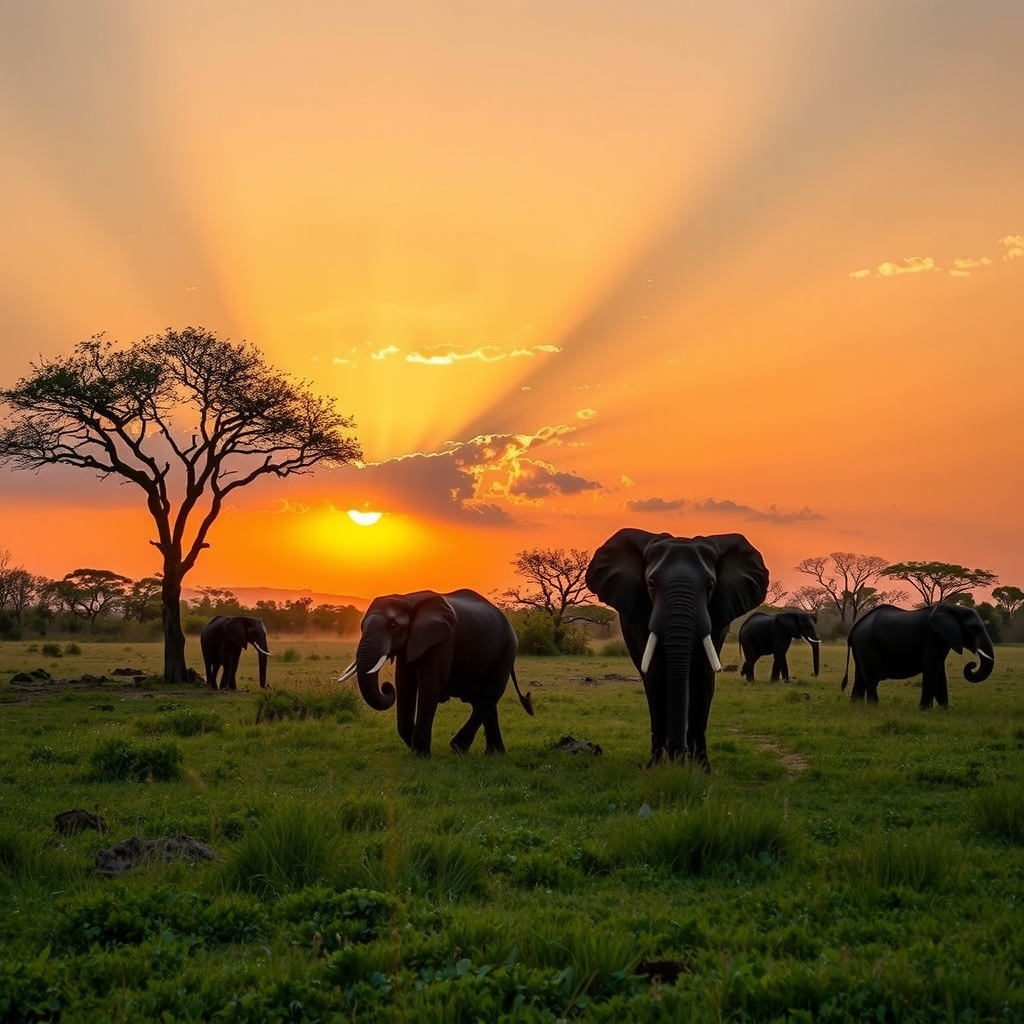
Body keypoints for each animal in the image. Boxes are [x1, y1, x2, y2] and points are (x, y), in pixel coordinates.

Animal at [337, 593, 536, 753]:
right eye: (361, 626)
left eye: (393, 625)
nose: (386, 687)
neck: (408, 599)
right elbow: (404, 685)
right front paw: (415, 747)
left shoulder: (444, 641)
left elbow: (430, 686)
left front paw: (420, 754)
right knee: (483, 699)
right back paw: (493, 754)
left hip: (507, 649)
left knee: (490, 693)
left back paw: (458, 747)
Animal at [585, 528, 770, 770]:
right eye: (651, 584)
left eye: (710, 585)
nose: (678, 753)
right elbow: (656, 677)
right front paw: (655, 767)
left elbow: (703, 677)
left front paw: (702, 768)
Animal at [839, 602, 991, 708]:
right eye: (974, 628)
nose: (972, 664)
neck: (952, 608)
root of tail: (854, 627)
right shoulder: (931, 638)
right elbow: (932, 669)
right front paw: (925, 710)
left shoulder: (942, 640)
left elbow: (940, 672)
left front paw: (944, 710)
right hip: (867, 643)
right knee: (871, 678)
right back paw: (875, 707)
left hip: (861, 646)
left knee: (861, 677)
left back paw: (856, 706)